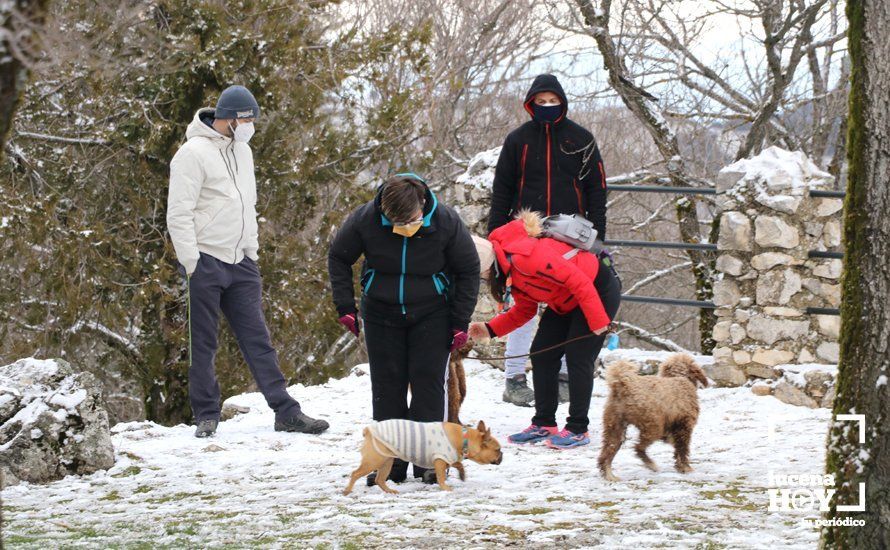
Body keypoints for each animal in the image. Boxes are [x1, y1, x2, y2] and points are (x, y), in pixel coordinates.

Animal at [344, 422, 502, 496]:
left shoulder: (448, 458)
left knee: (380, 479)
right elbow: (441, 476)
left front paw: (462, 474)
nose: (502, 455)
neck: (464, 438)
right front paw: (445, 488)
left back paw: (390, 491)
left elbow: (457, 464)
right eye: (497, 449)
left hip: (386, 461)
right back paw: (347, 490)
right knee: (355, 474)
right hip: (374, 460)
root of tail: (368, 431)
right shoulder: (440, 459)